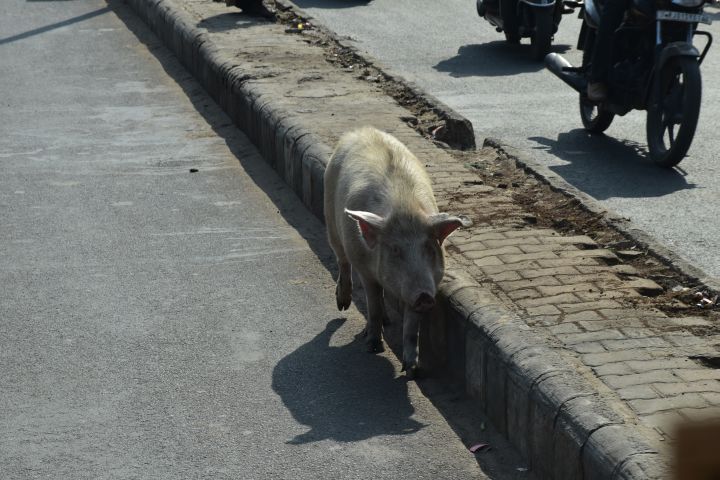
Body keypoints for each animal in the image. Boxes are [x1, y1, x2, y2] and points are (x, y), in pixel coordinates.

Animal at [322, 127, 470, 378]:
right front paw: (373, 347)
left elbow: (411, 326)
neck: (404, 208)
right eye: (395, 250)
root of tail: (361, 130)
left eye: (429, 247)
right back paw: (343, 305)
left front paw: (411, 369)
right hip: (331, 219)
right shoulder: (365, 269)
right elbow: (372, 303)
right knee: (341, 260)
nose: (424, 297)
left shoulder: (426, 282)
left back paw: (387, 321)